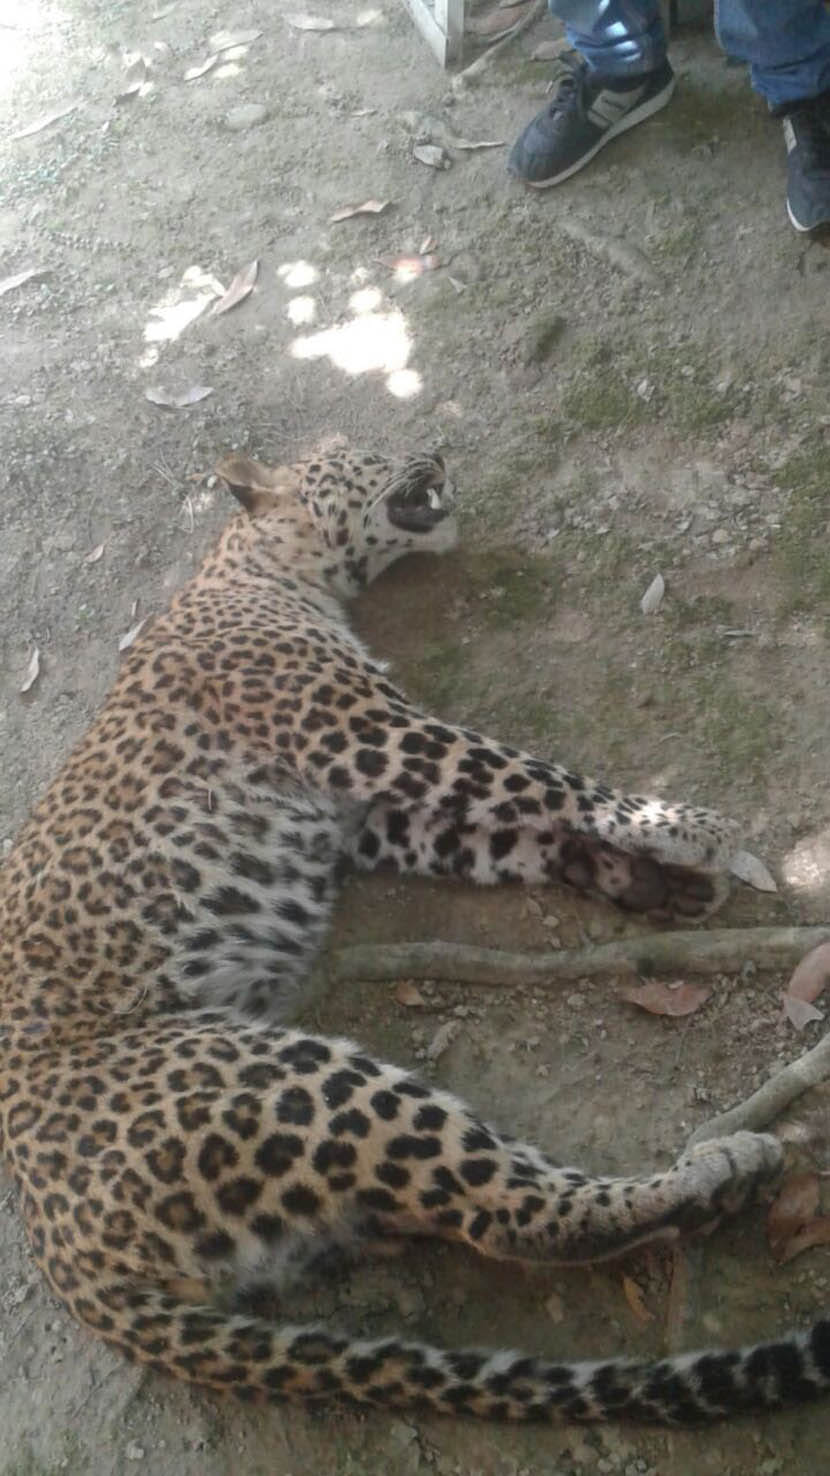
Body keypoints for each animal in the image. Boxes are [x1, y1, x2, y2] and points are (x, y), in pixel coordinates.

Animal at [0, 443, 827, 1426]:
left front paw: (653, 878)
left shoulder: (364, 814)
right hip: (284, 1080)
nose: (433, 452)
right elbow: (533, 776)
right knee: (508, 1215)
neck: (261, 569)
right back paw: (721, 1169)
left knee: (443, 1213)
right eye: (360, 458)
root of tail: (58, 1251)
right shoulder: (372, 734)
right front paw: (683, 828)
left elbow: (503, 832)